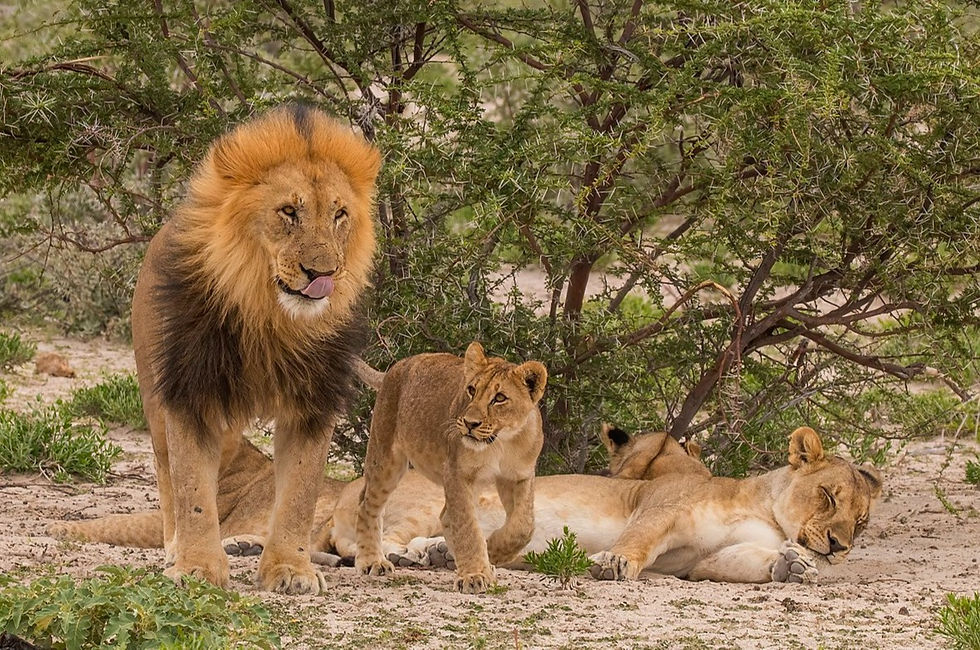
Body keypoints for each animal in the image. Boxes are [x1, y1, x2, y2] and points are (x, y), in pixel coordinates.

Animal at [121, 105, 379, 594]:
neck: (270, 315)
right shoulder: (190, 393)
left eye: (339, 214)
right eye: (288, 211)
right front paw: (197, 567)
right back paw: (173, 549)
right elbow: (193, 490)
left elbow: (299, 493)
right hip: (153, 395)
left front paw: (291, 569)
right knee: (167, 477)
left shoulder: (312, 404)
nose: (324, 273)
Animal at [354, 342, 547, 593]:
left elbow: (523, 526)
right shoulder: (457, 472)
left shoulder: (519, 476)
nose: (470, 423)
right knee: (367, 505)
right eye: (471, 390)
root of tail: (395, 367)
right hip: (386, 458)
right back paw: (372, 561)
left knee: (446, 516)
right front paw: (475, 573)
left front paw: (492, 554)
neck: (502, 442)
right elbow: (467, 526)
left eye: (500, 398)